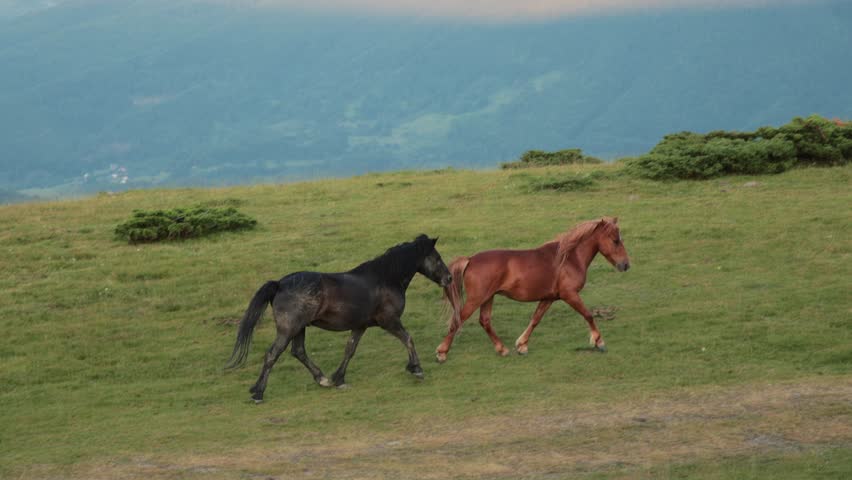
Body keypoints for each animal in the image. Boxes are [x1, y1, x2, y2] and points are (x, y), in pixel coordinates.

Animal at [225, 234, 452, 403]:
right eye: (437, 258)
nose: (449, 278)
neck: (386, 278)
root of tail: (279, 284)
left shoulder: (360, 326)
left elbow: (349, 350)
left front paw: (339, 379)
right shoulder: (389, 321)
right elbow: (408, 338)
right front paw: (416, 369)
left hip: (299, 328)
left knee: (298, 351)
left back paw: (322, 379)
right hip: (289, 328)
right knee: (273, 354)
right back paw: (258, 393)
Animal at [436, 217, 630, 362]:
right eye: (615, 240)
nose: (626, 265)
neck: (569, 259)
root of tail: (470, 260)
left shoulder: (549, 297)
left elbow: (536, 319)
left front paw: (521, 345)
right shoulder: (569, 295)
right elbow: (588, 314)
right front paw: (599, 342)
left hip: (487, 298)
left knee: (485, 321)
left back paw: (502, 349)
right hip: (477, 298)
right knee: (457, 320)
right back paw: (442, 353)